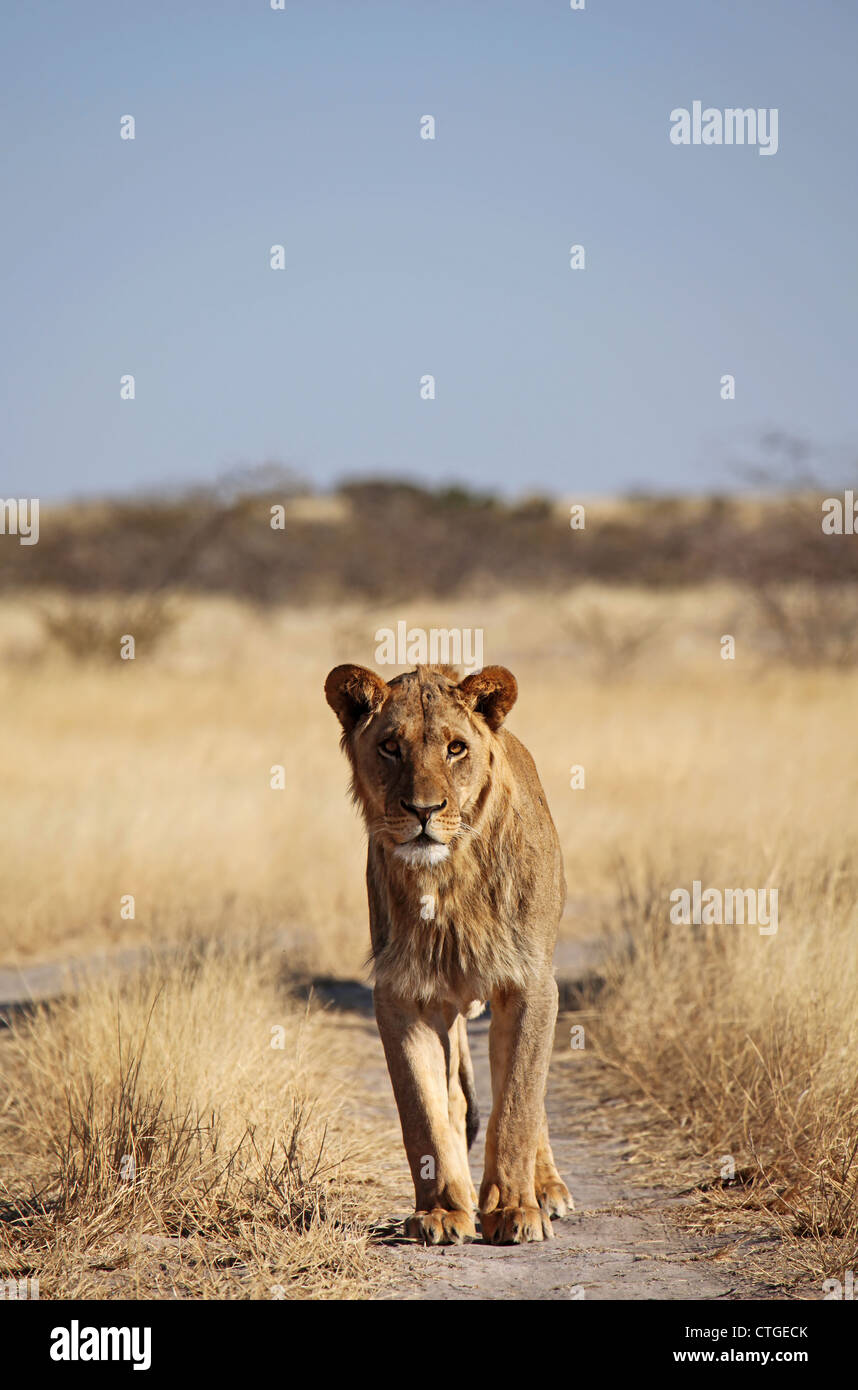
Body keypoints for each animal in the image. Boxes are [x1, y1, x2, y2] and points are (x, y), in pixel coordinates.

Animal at [324, 661, 572, 1245]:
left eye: (456, 748)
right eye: (390, 747)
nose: (423, 810)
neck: (448, 878)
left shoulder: (530, 985)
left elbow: (518, 1104)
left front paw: (515, 1210)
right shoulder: (401, 993)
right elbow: (422, 1110)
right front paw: (440, 1211)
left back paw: (546, 1190)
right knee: (456, 1099)